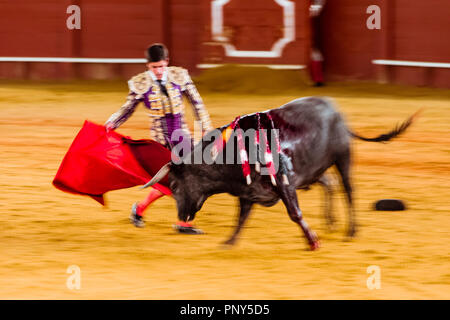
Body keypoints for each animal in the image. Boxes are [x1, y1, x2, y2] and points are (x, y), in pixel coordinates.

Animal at [143, 96, 414, 251]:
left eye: (175, 186)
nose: (181, 217)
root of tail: (336, 110)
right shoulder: (248, 191)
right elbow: (241, 217)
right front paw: (229, 242)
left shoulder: (284, 183)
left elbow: (295, 213)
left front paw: (312, 241)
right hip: (314, 168)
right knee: (329, 183)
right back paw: (331, 221)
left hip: (343, 158)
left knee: (348, 189)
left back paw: (351, 231)